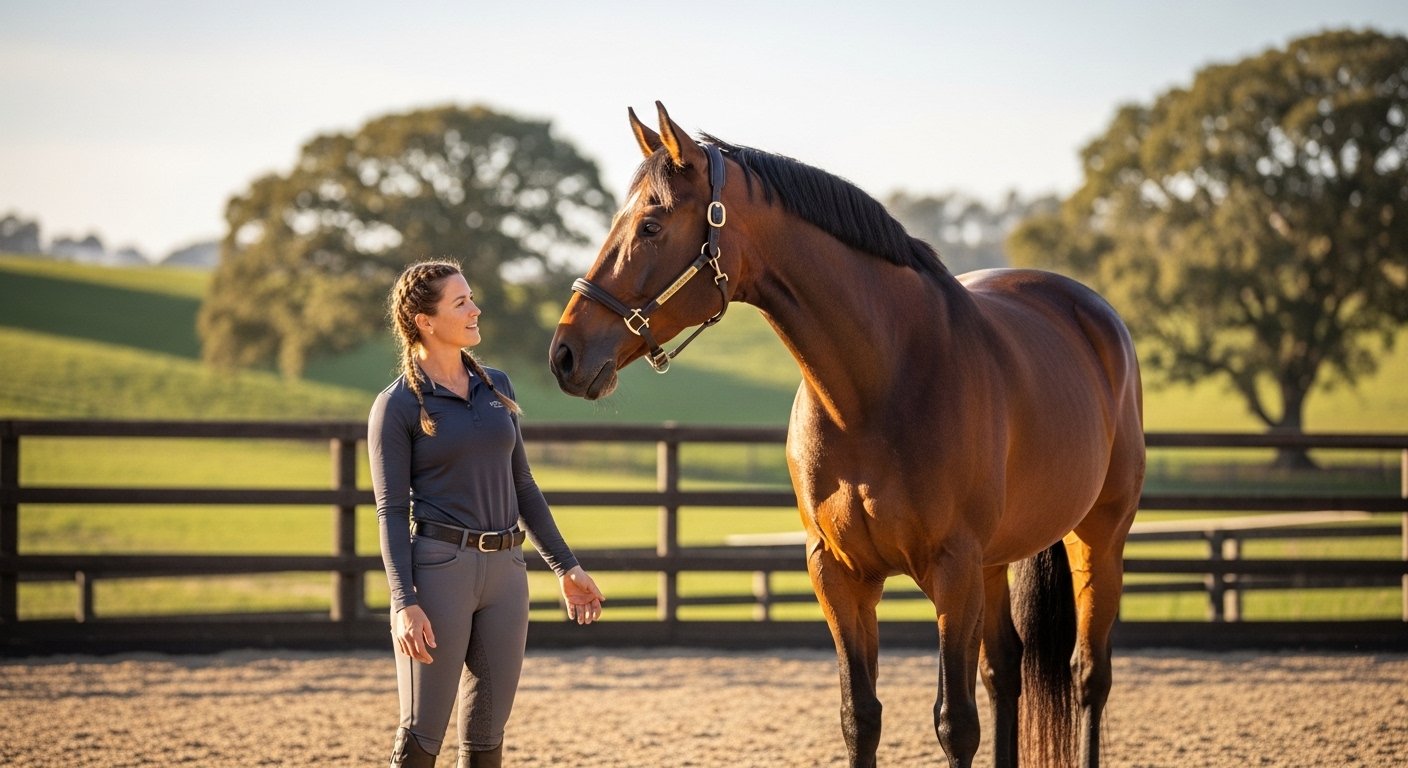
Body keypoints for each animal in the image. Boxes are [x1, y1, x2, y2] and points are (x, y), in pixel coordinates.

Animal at [549, 102, 1145, 768]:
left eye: (651, 225)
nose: (565, 354)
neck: (877, 386)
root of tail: (1093, 312)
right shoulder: (838, 574)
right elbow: (860, 717)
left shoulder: (952, 571)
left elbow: (956, 724)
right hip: (994, 564)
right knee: (1005, 672)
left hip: (1097, 539)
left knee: (1089, 675)